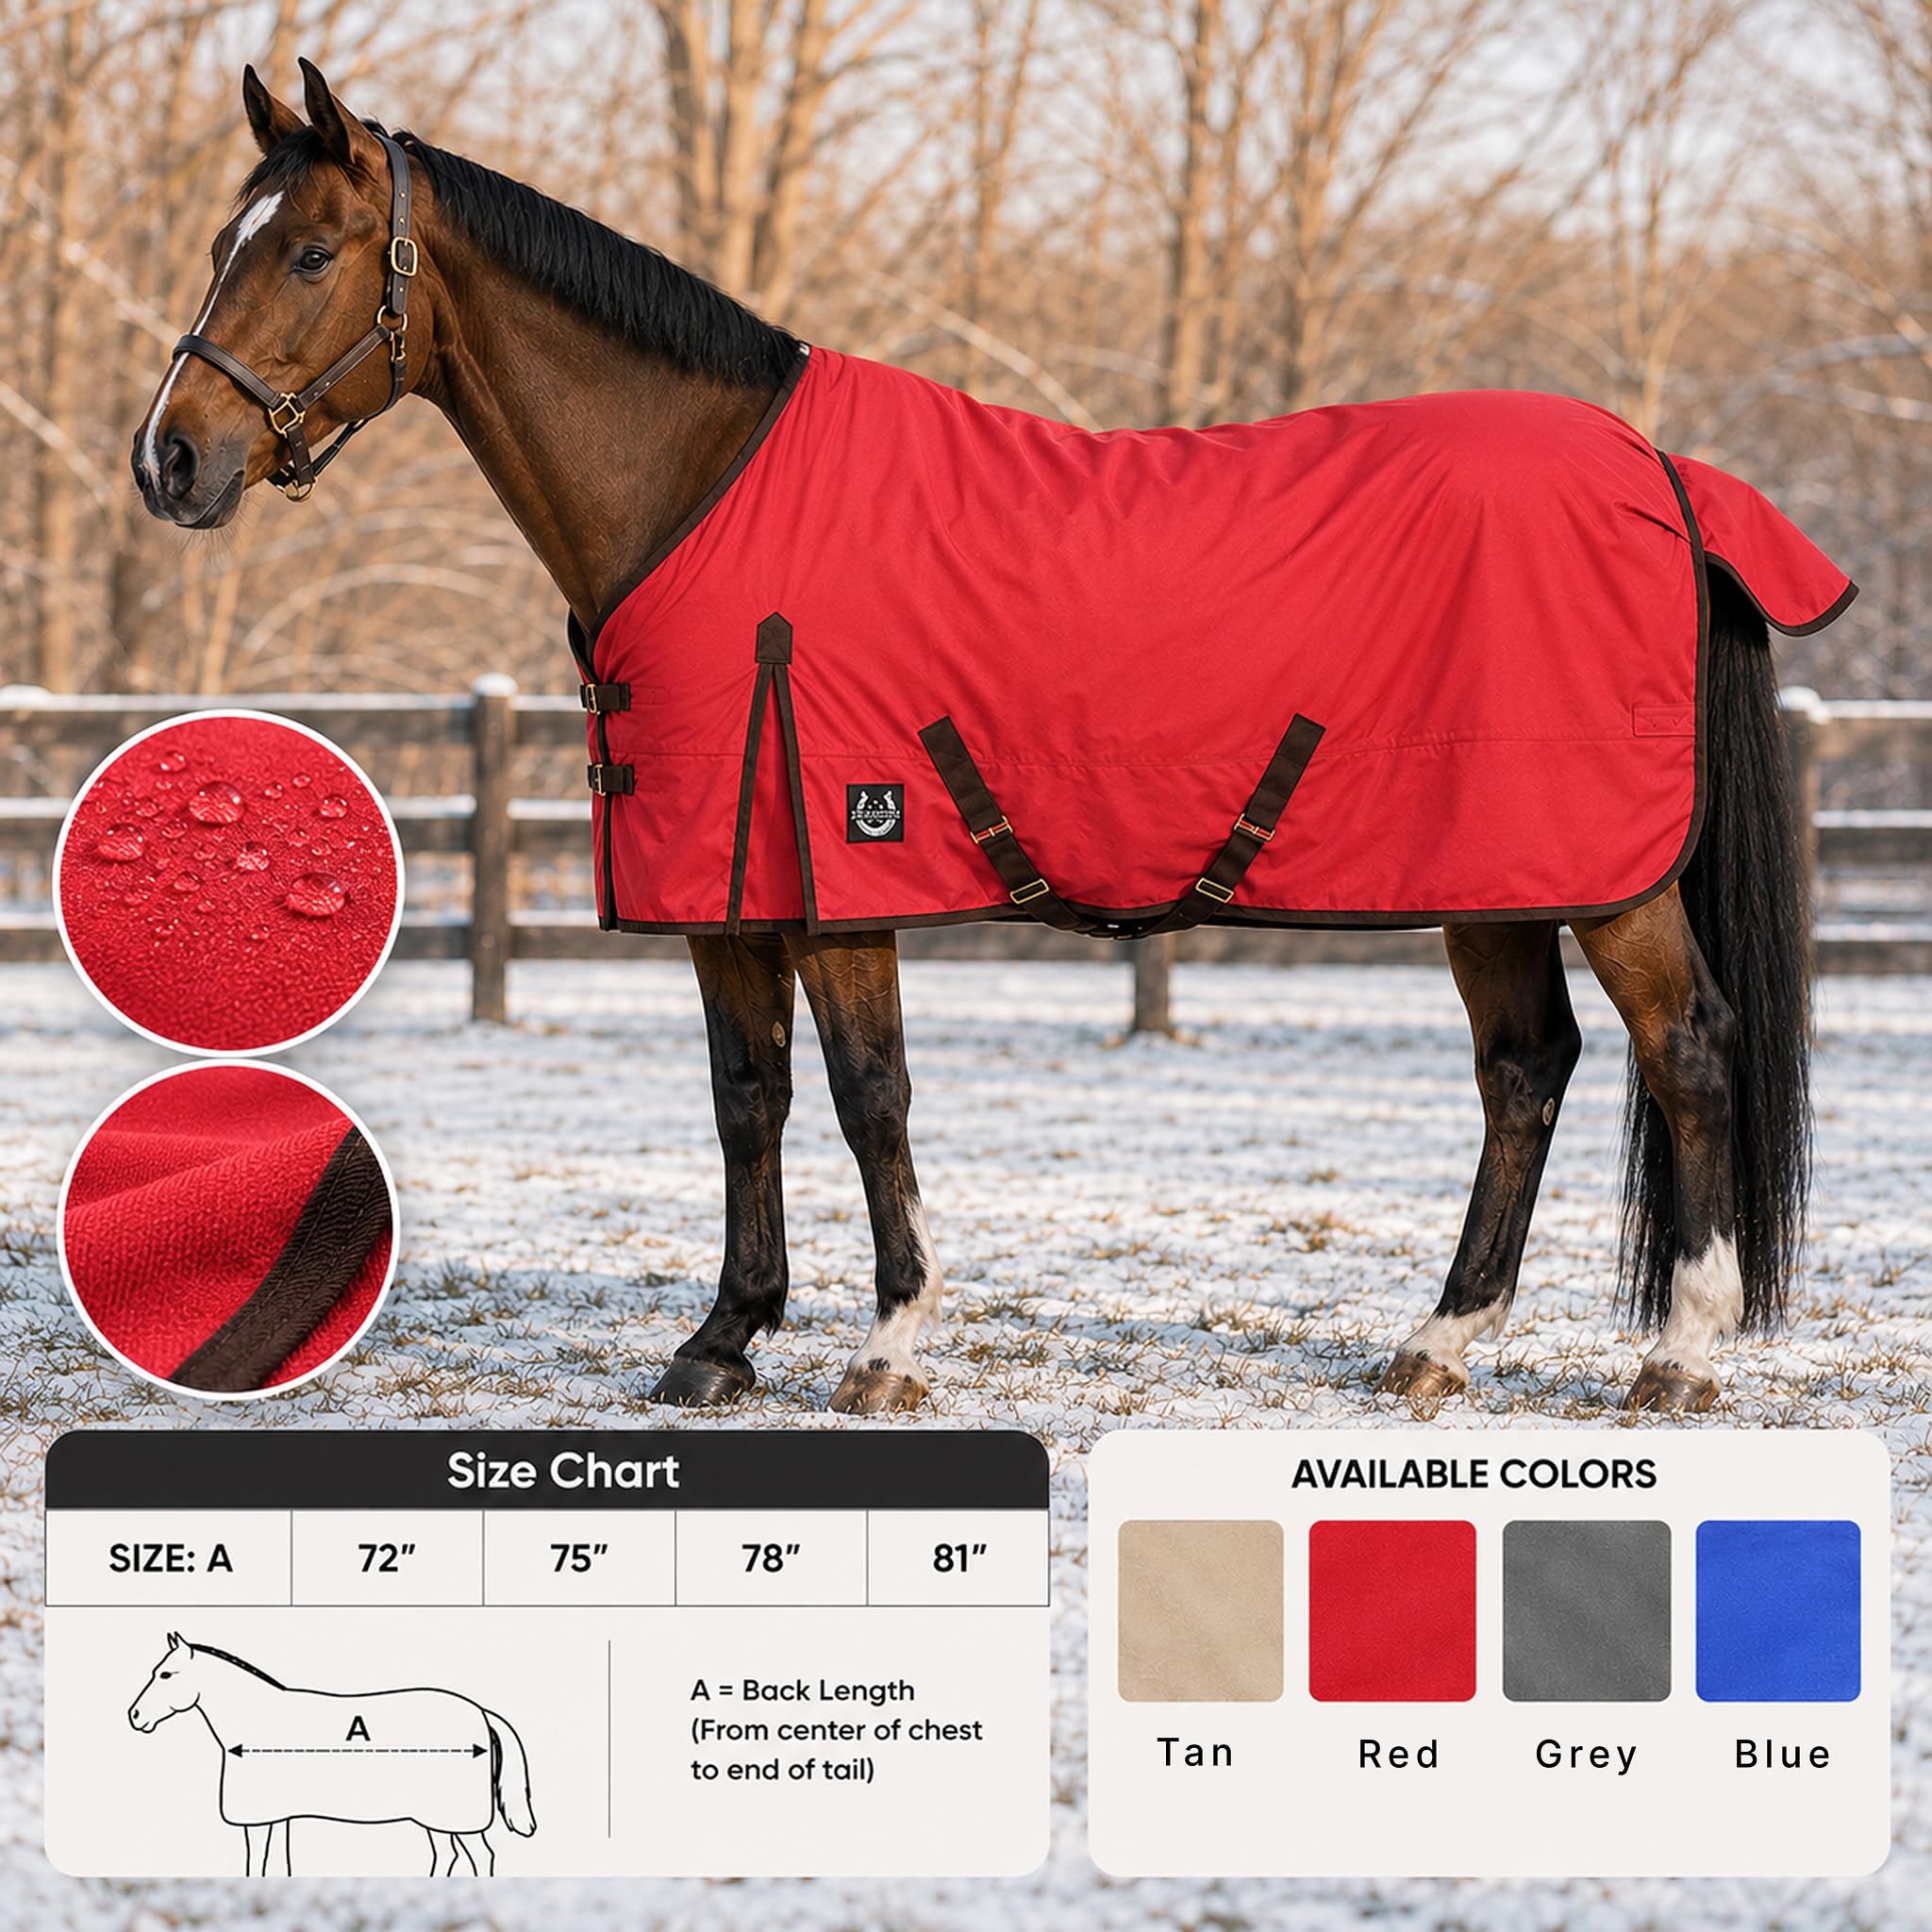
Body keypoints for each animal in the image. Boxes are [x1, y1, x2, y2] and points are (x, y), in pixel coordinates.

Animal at [127, 1632, 536, 1875]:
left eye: (166, 1674)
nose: (135, 1716)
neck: (257, 1722)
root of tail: (481, 1711)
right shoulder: (279, 1814)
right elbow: (278, 1862)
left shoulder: (256, 1820)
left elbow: (257, 1861)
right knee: (450, 1855)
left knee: (480, 1856)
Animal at [132, 59, 1822, 1418]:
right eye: (220, 244)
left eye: (308, 250)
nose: (170, 461)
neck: (700, 489)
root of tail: (1659, 471)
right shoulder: (726, 892)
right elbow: (747, 1099)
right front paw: (723, 1341)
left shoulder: (838, 862)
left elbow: (868, 1096)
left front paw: (887, 1347)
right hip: (1490, 872)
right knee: (1525, 1071)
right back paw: (1438, 1347)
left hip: (1609, 878)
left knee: (1686, 1050)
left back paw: (1678, 1357)